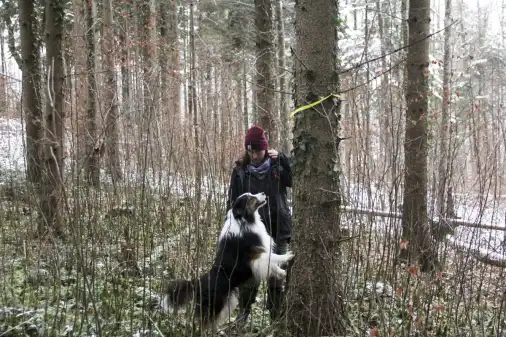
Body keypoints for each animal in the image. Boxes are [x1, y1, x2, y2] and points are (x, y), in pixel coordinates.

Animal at [160, 193, 294, 332]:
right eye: (251, 198)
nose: (263, 193)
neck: (244, 221)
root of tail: (198, 282)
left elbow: (272, 264)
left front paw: (281, 273)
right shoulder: (255, 256)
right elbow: (272, 257)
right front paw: (288, 256)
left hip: (227, 302)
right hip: (215, 305)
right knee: (204, 323)